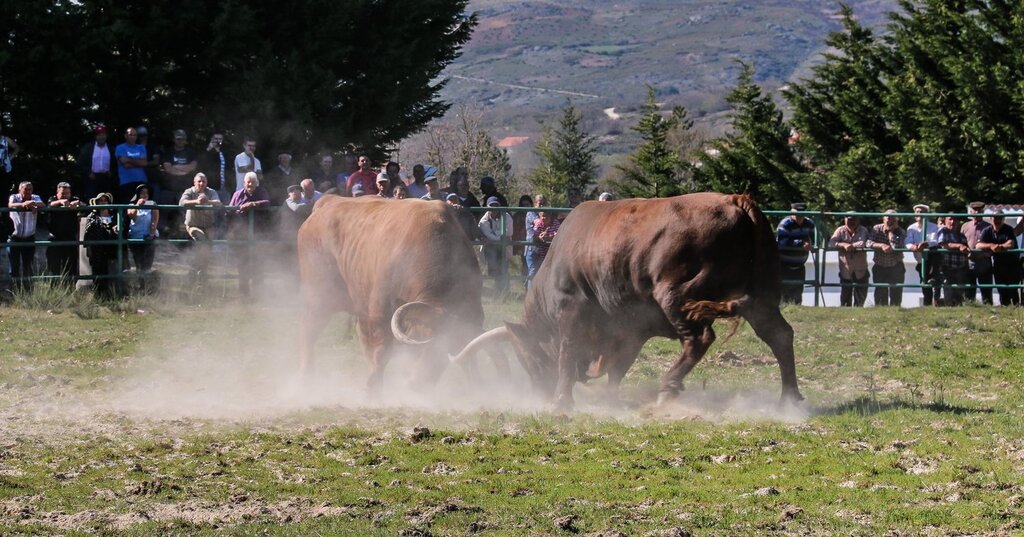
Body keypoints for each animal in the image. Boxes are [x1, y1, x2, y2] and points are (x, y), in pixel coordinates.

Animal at [299, 194, 501, 391]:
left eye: (446, 352)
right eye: (418, 339)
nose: (417, 383)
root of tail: (327, 203)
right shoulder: (380, 315)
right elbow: (382, 352)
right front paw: (373, 387)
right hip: (320, 299)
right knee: (309, 331)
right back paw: (307, 376)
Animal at [454, 194, 798, 409]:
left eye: (528, 358)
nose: (539, 393)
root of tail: (736, 200)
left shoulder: (572, 312)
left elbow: (567, 353)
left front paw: (562, 399)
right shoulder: (629, 329)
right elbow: (618, 366)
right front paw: (608, 398)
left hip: (674, 295)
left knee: (699, 338)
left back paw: (668, 387)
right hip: (762, 298)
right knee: (780, 335)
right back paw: (789, 398)